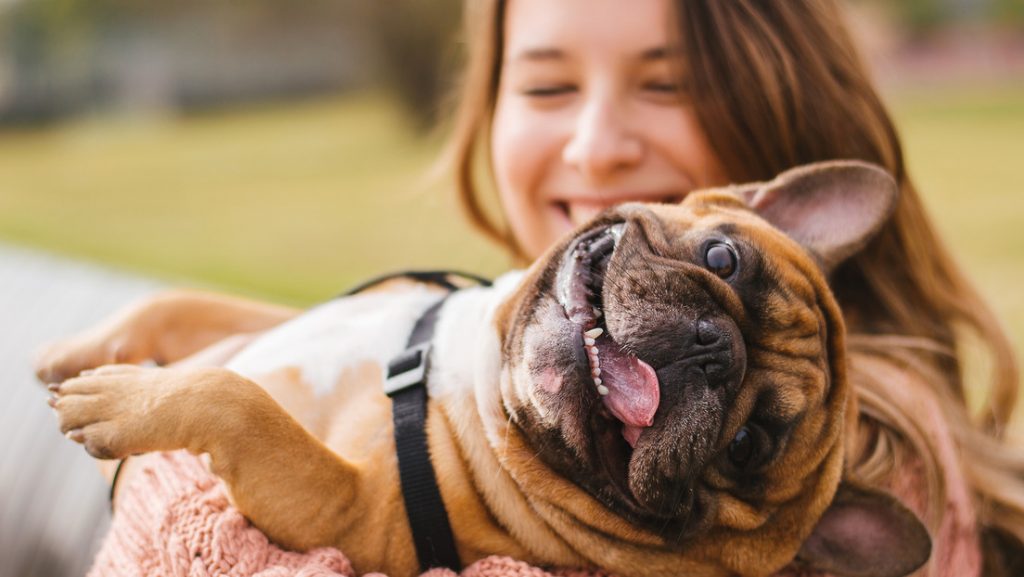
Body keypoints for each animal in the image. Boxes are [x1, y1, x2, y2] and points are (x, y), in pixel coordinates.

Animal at [41, 159, 929, 573]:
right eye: (723, 258)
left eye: (747, 445)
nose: (715, 346)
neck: (470, 373)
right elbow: (187, 307)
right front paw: (79, 352)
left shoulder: (342, 512)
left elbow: (240, 402)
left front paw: (122, 399)